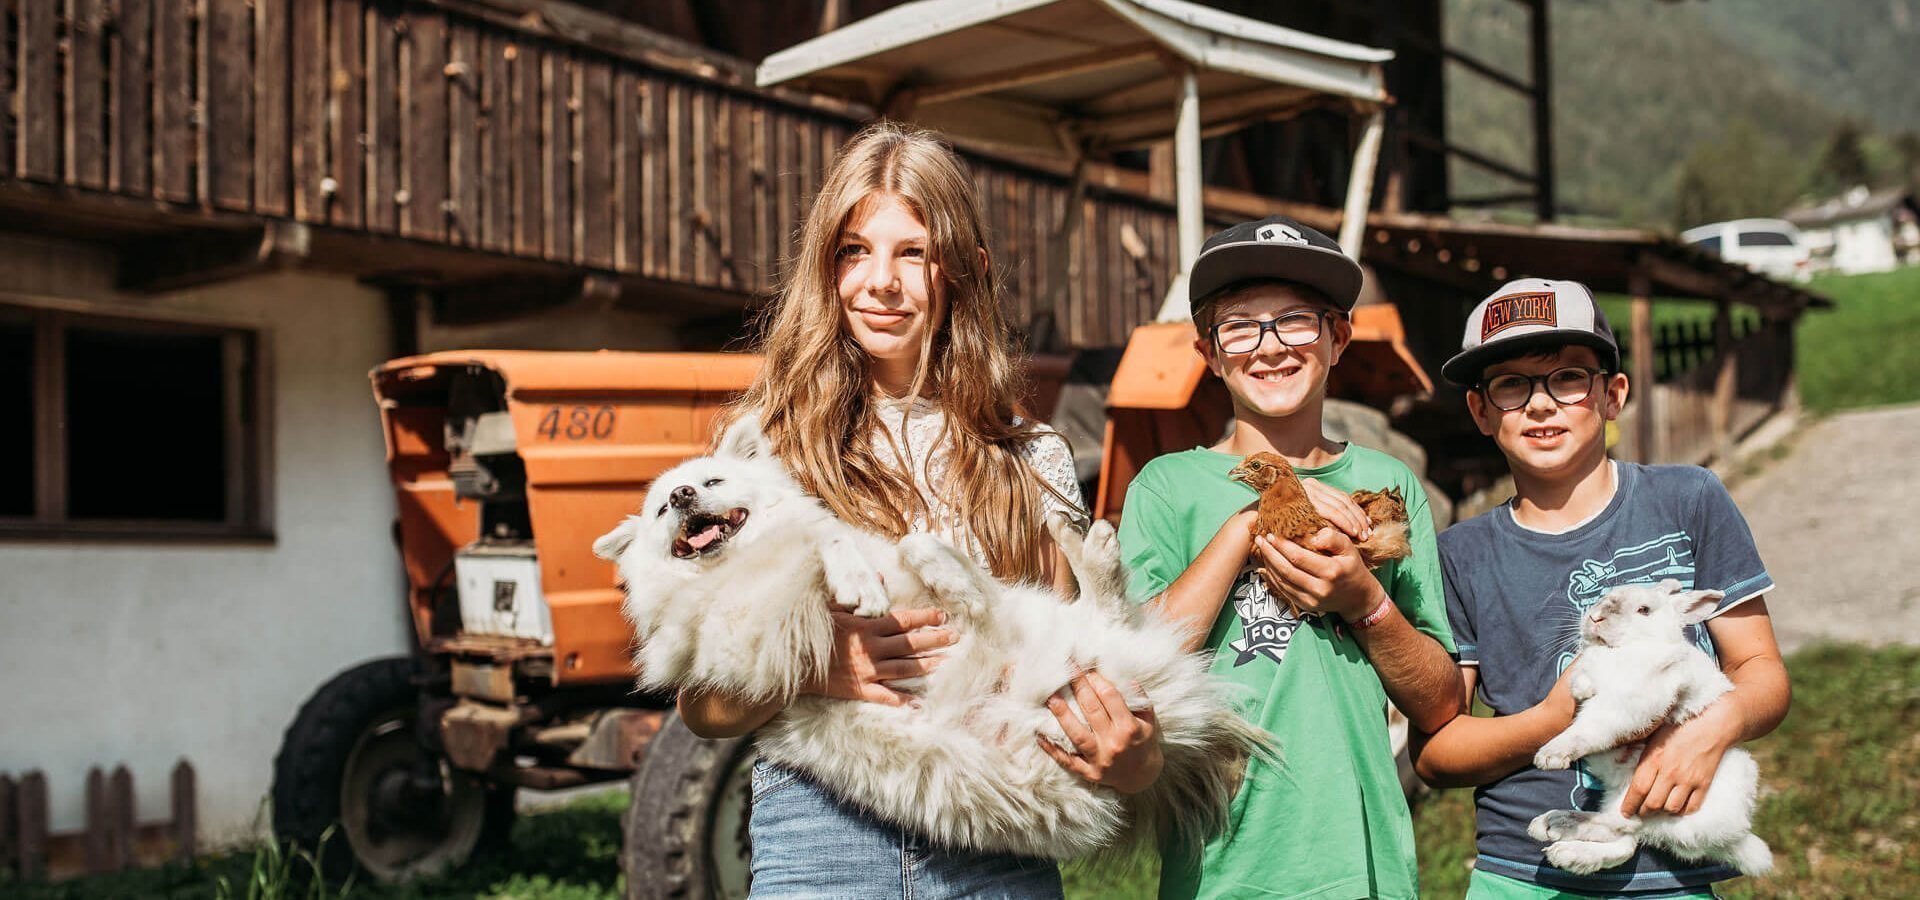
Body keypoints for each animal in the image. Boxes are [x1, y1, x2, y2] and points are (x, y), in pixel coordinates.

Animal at [591, 418, 1267, 855]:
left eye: (710, 484)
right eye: (661, 510)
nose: (681, 495)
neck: (741, 564)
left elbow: (833, 538)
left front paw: (860, 575)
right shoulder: (747, 633)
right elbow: (812, 551)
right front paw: (851, 581)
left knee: (1088, 608)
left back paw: (1072, 546)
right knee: (999, 625)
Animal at [1520, 579, 1774, 875]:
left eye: (1644, 610)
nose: (1595, 617)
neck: (1629, 648)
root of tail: (1736, 835)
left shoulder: (1631, 701)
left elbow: (1590, 726)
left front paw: (1550, 755)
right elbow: (1586, 672)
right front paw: (1582, 687)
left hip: (1639, 800)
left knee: (1622, 831)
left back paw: (1560, 836)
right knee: (1624, 840)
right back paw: (1554, 829)